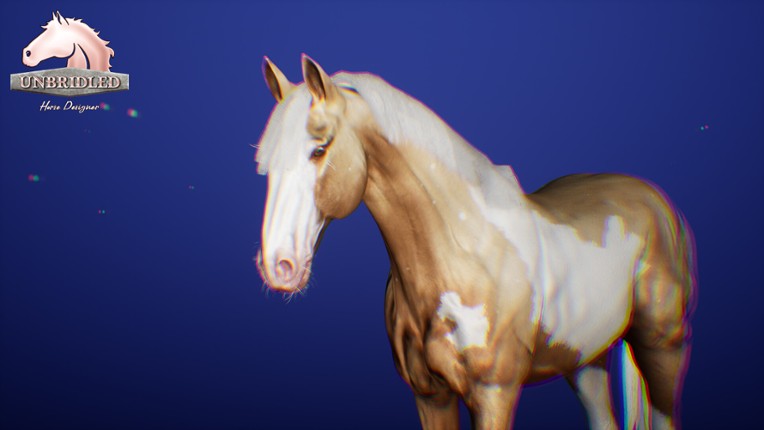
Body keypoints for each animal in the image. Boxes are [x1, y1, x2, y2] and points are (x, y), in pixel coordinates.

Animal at [254, 55, 696, 430]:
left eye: (319, 148)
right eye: (265, 163)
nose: (279, 266)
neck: (464, 255)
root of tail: (658, 203)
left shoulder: (494, 394)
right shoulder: (431, 396)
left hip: (662, 346)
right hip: (586, 358)